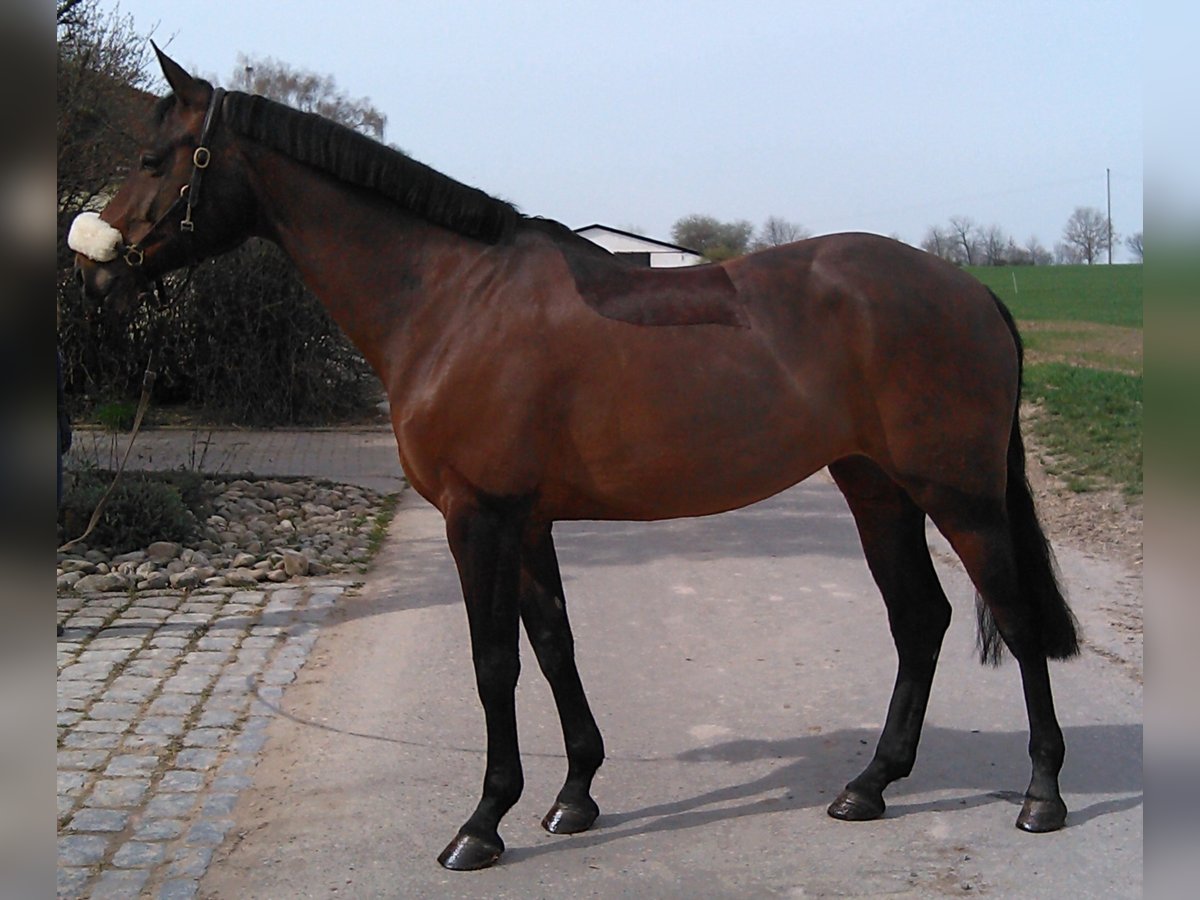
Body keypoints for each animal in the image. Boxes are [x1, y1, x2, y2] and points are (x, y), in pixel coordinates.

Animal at [75, 49, 1084, 873]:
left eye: (157, 159)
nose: (96, 269)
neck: (451, 300)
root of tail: (970, 290)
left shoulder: (477, 516)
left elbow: (493, 663)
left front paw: (481, 824)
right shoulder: (526, 518)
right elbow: (554, 644)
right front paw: (573, 798)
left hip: (959, 495)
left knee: (1015, 618)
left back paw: (1042, 796)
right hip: (876, 489)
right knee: (921, 620)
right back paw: (870, 785)